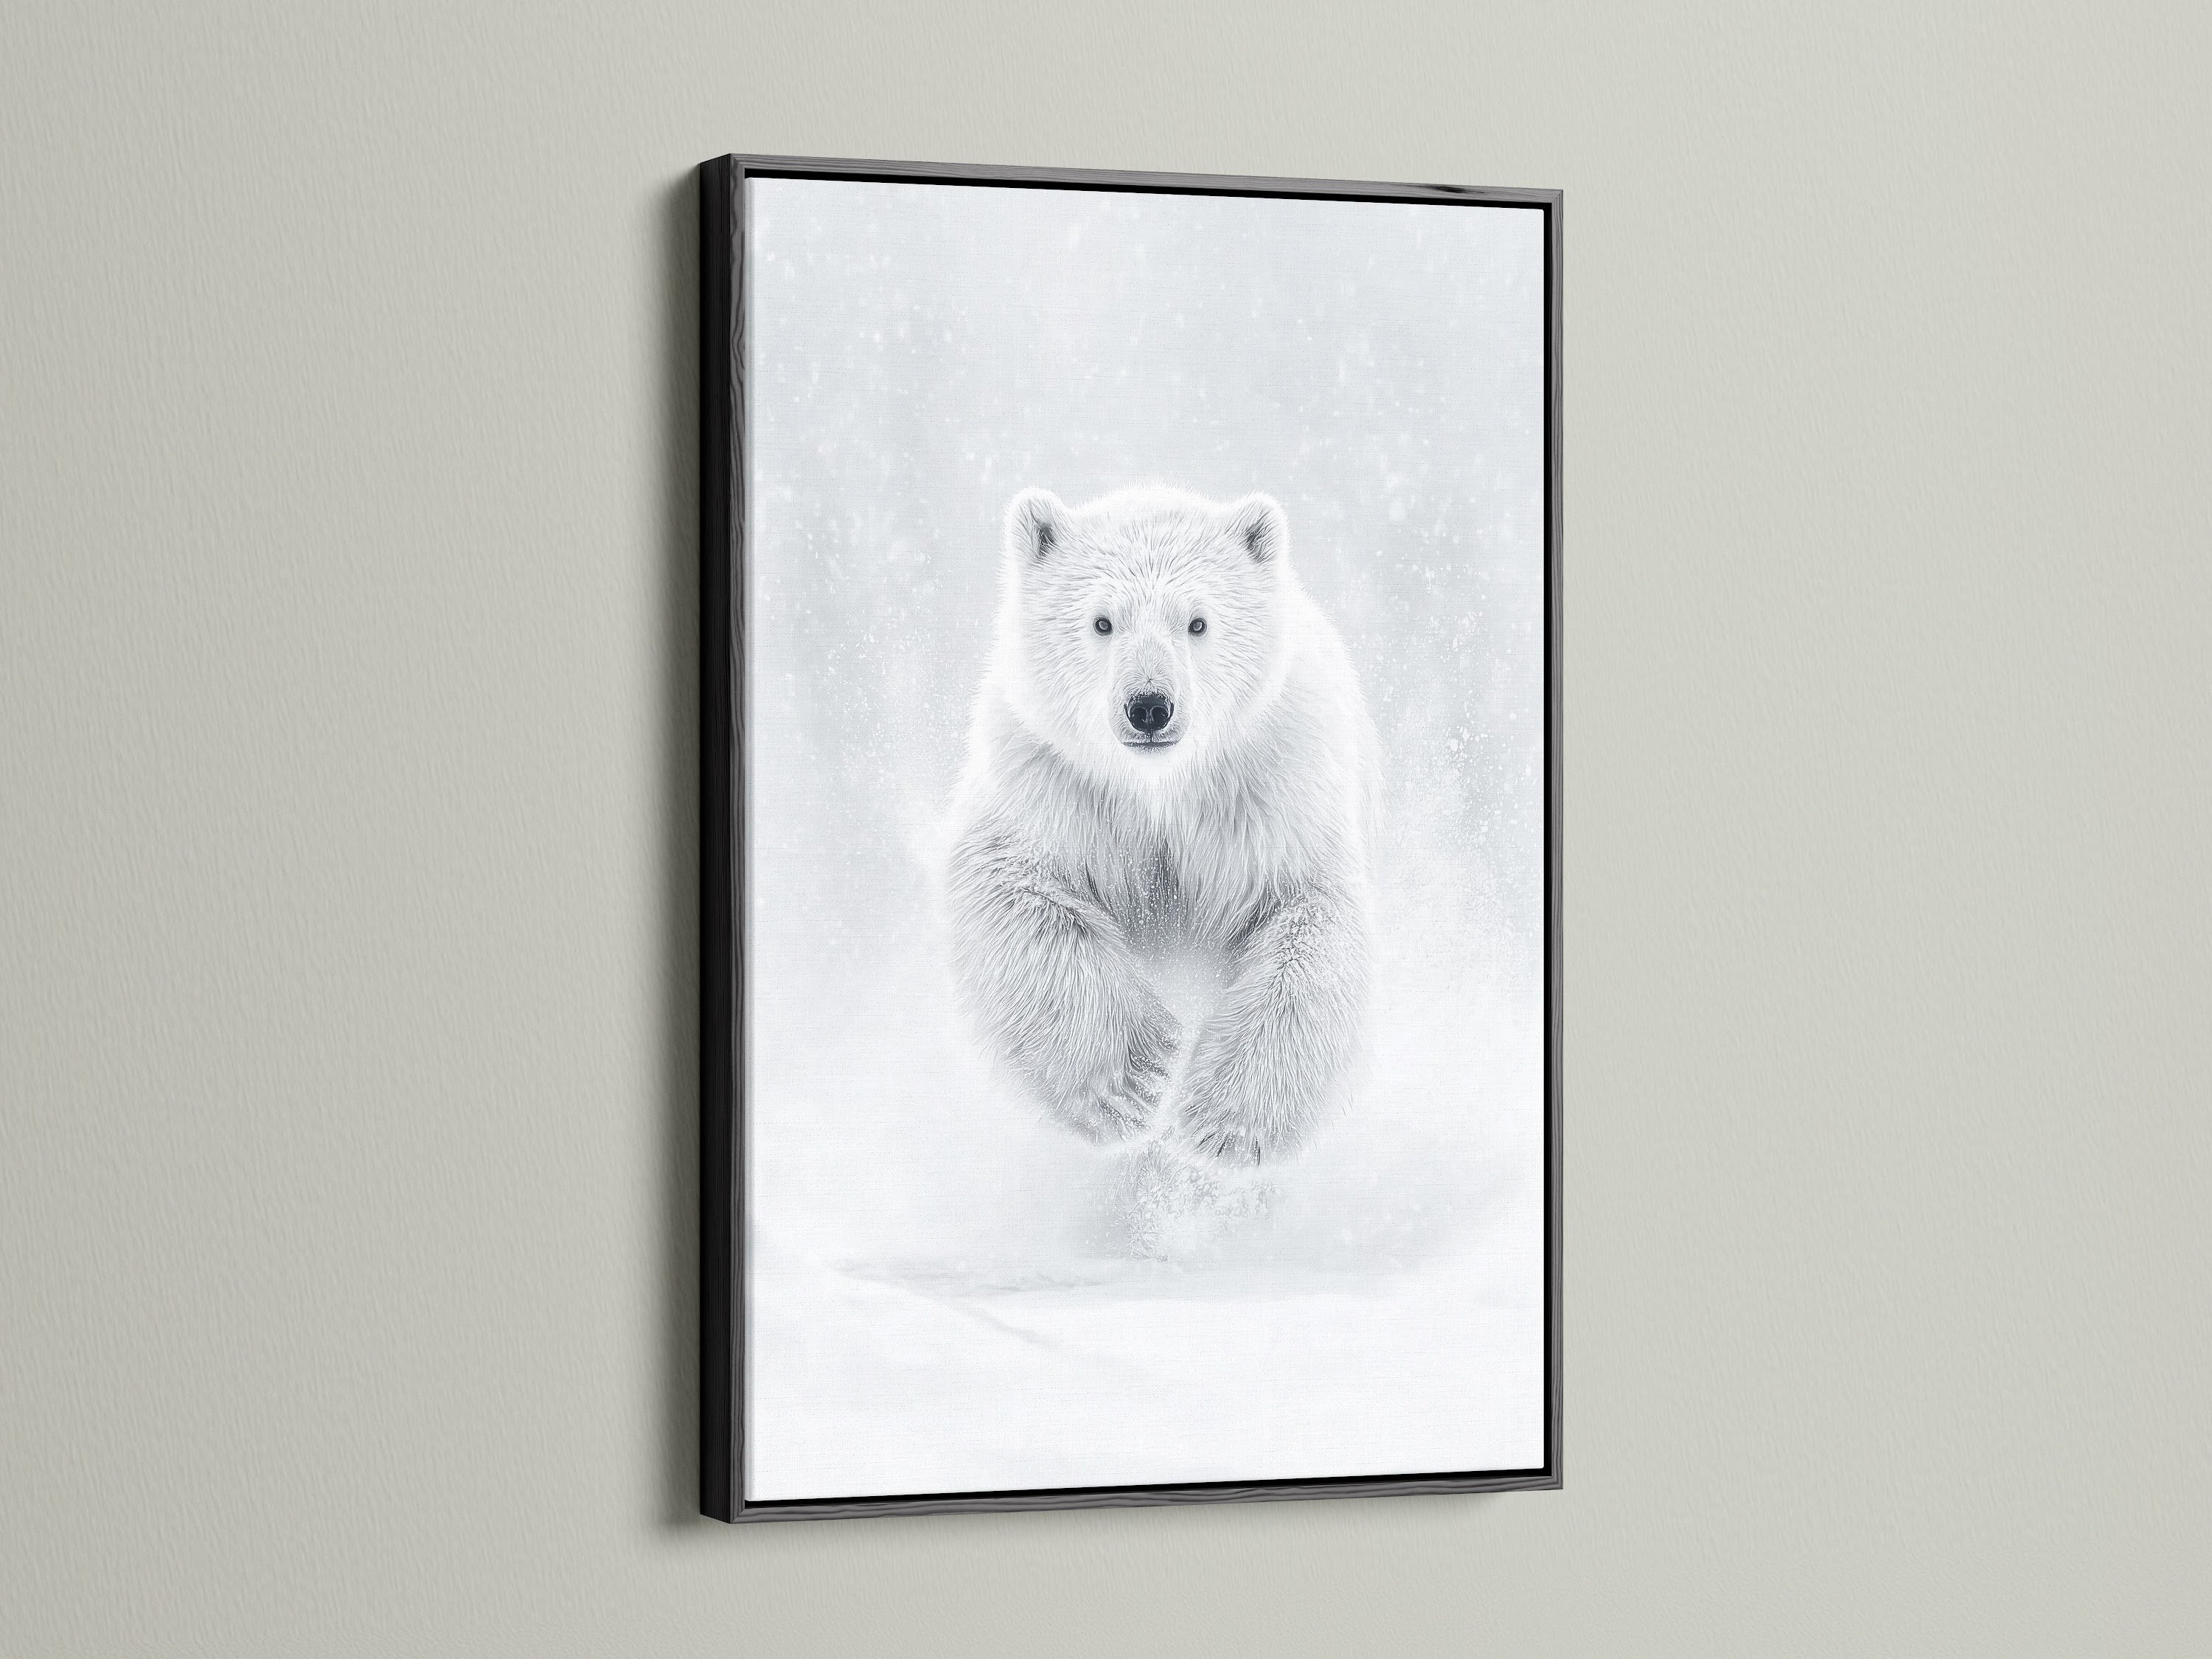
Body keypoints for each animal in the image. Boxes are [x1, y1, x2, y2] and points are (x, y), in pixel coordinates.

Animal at [946, 486, 1378, 1170]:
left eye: (1197, 622)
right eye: (1102, 622)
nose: (1149, 706)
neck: (1160, 789)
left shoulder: (1272, 789)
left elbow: (1309, 922)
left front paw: (1223, 1126)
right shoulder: (1052, 783)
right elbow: (1011, 889)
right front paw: (1135, 1081)